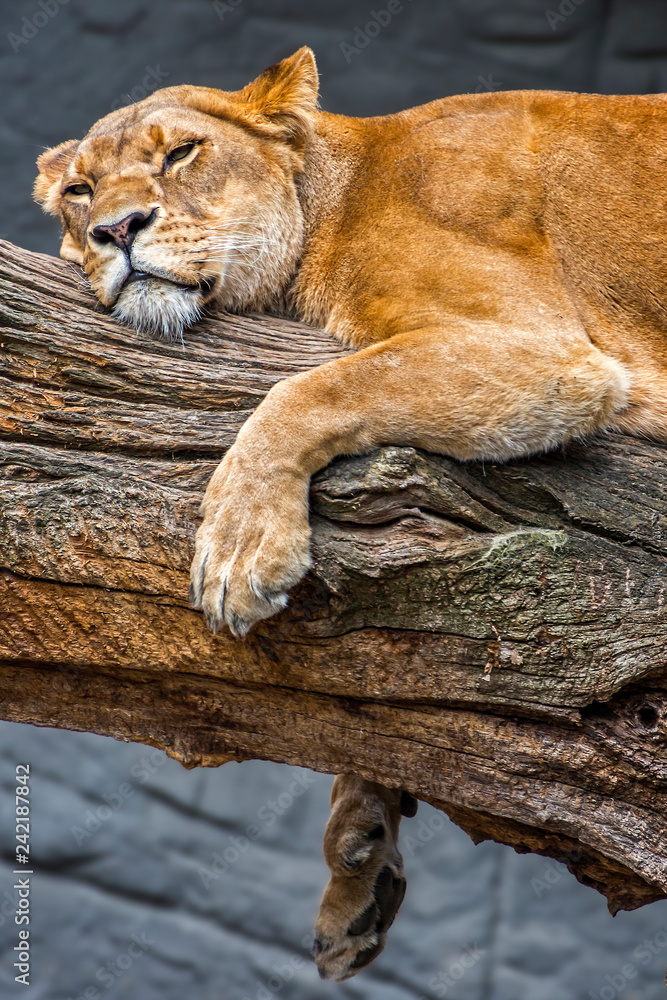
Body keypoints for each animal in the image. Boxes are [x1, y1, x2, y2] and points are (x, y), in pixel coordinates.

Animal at [34, 46, 667, 981]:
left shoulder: (544, 350)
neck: (334, 194)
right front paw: (357, 863)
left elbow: (314, 387)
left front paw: (240, 548)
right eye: (81, 191)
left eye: (181, 153)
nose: (117, 230)